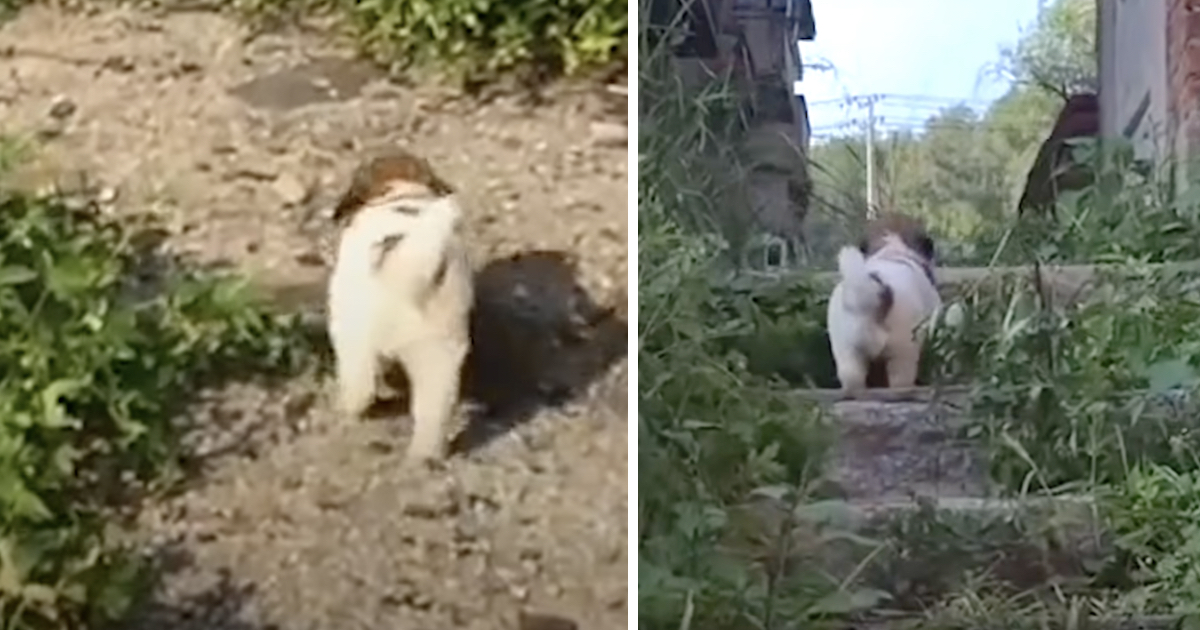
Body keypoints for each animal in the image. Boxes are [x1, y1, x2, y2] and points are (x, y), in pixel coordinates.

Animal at [331, 149, 475, 458]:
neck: (402, 192)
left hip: (354, 340)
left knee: (359, 392)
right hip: (438, 354)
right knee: (432, 414)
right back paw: (424, 457)